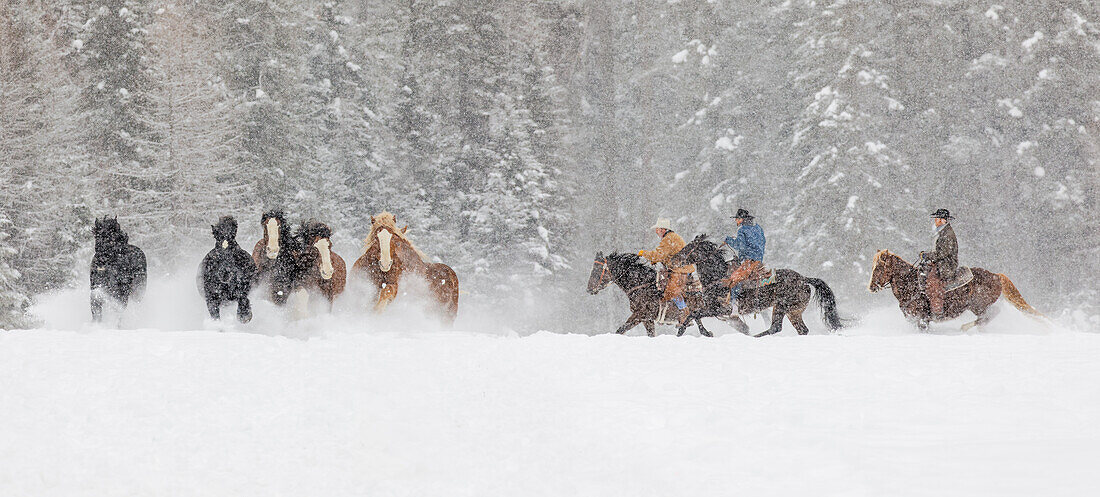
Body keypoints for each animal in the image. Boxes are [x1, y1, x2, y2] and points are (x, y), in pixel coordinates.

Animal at [664, 236, 844, 338]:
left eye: (689, 247)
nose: (673, 259)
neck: (718, 277)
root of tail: (804, 279)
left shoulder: (720, 309)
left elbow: (694, 314)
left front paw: (686, 332)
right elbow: (695, 315)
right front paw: (700, 332)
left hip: (781, 306)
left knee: (775, 327)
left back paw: (755, 337)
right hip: (794, 312)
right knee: (802, 330)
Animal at [866, 248, 1038, 329]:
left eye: (879, 267)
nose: (871, 287)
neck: (911, 284)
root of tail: (996, 275)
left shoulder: (922, 319)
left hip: (978, 305)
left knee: (988, 316)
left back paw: (964, 328)